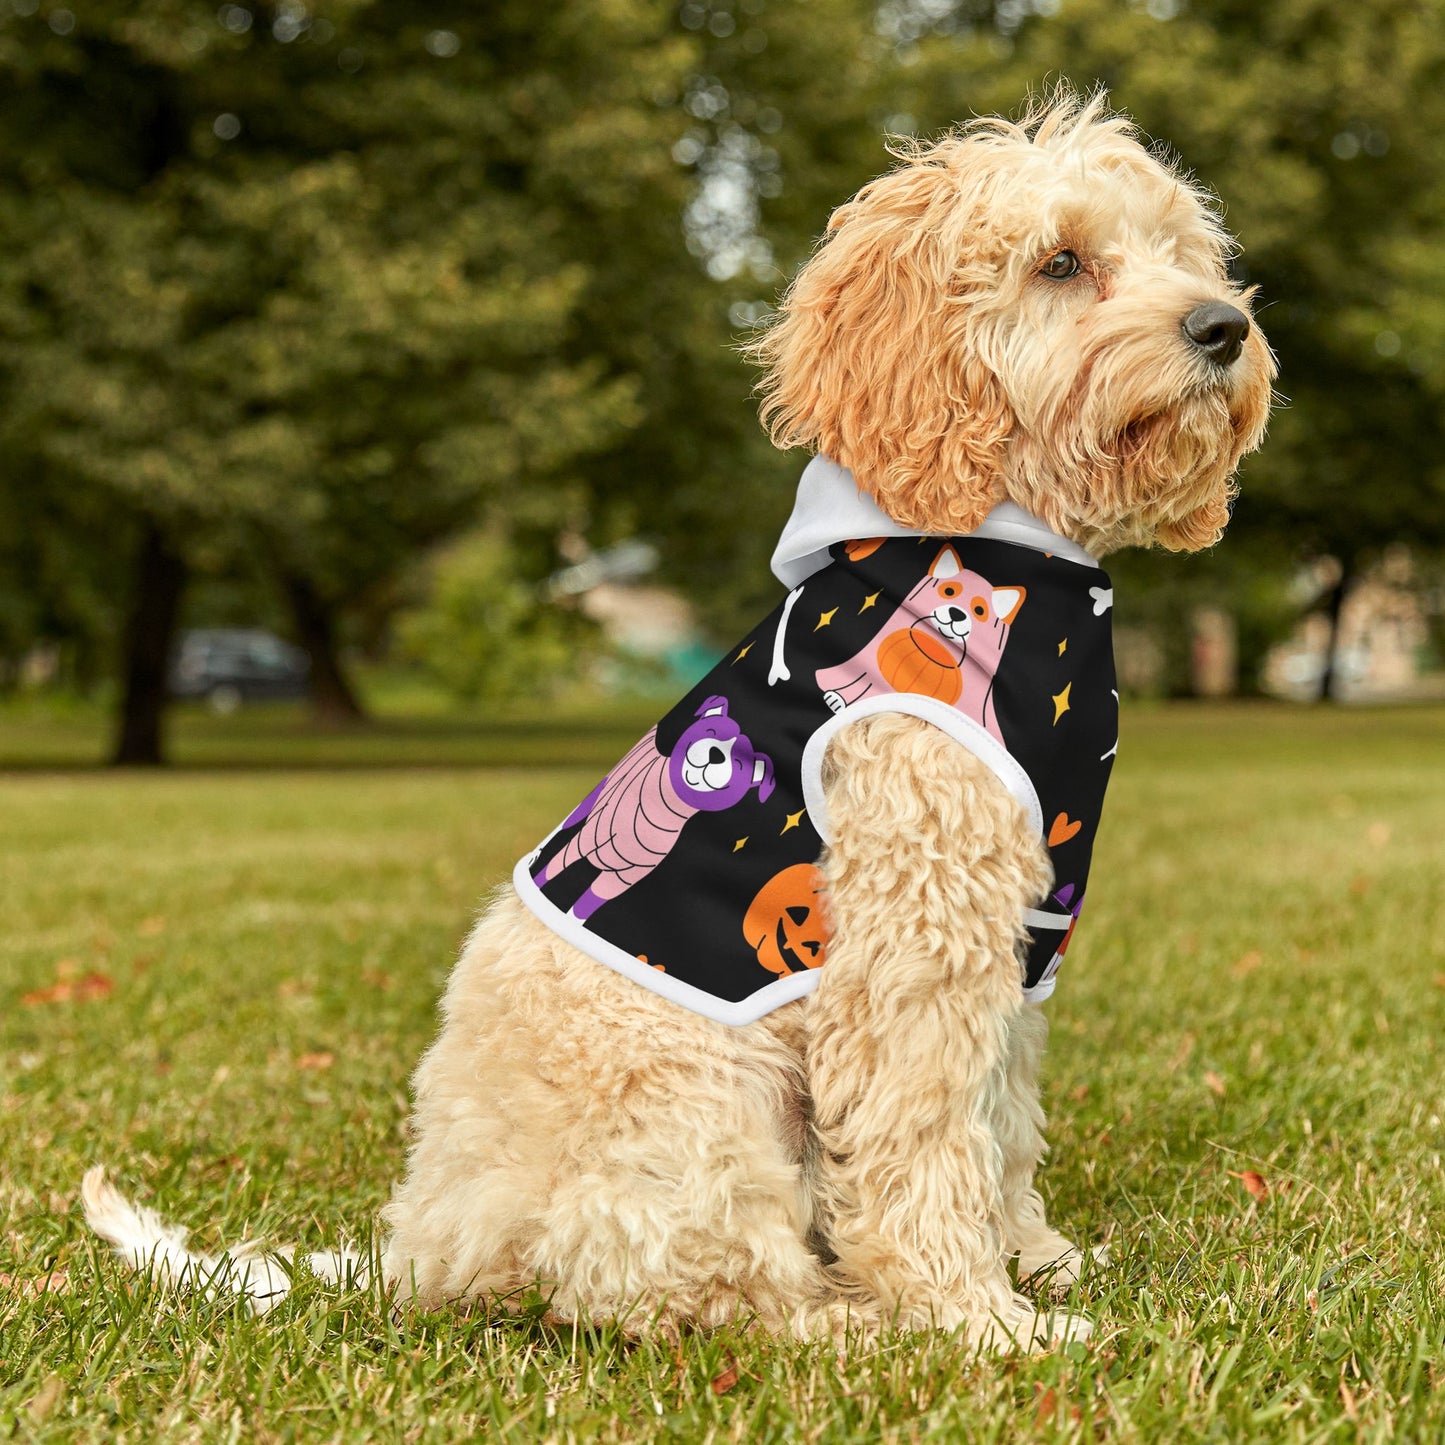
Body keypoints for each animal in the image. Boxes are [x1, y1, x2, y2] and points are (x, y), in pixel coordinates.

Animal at [84, 93, 1271, 1352]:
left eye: (1181, 252)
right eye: (1059, 262)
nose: (1222, 327)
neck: (1005, 549)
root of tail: (424, 1246)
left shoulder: (1017, 933)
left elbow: (998, 1119)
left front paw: (1034, 1260)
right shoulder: (911, 938)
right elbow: (923, 1137)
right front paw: (976, 1318)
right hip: (703, 1105)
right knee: (701, 1291)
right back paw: (852, 1322)